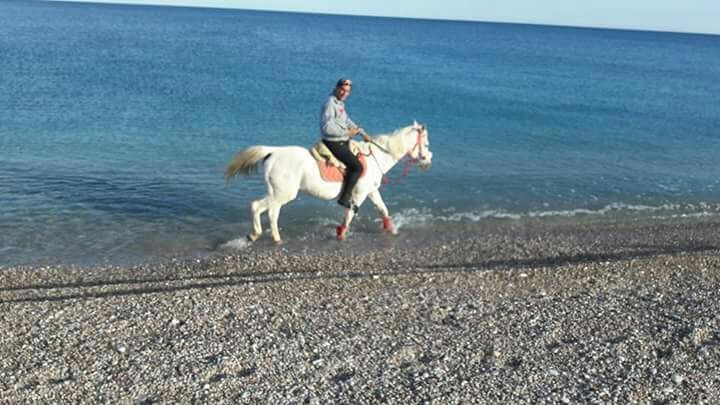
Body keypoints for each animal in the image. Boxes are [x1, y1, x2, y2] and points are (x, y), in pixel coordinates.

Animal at [225, 121, 432, 243]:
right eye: (426, 143)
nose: (428, 161)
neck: (377, 156)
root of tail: (273, 152)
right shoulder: (359, 193)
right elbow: (350, 214)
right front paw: (341, 233)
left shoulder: (371, 191)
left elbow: (383, 209)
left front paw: (391, 229)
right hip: (283, 193)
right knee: (262, 208)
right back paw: (264, 236)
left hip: (277, 193)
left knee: (268, 211)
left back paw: (268, 236)